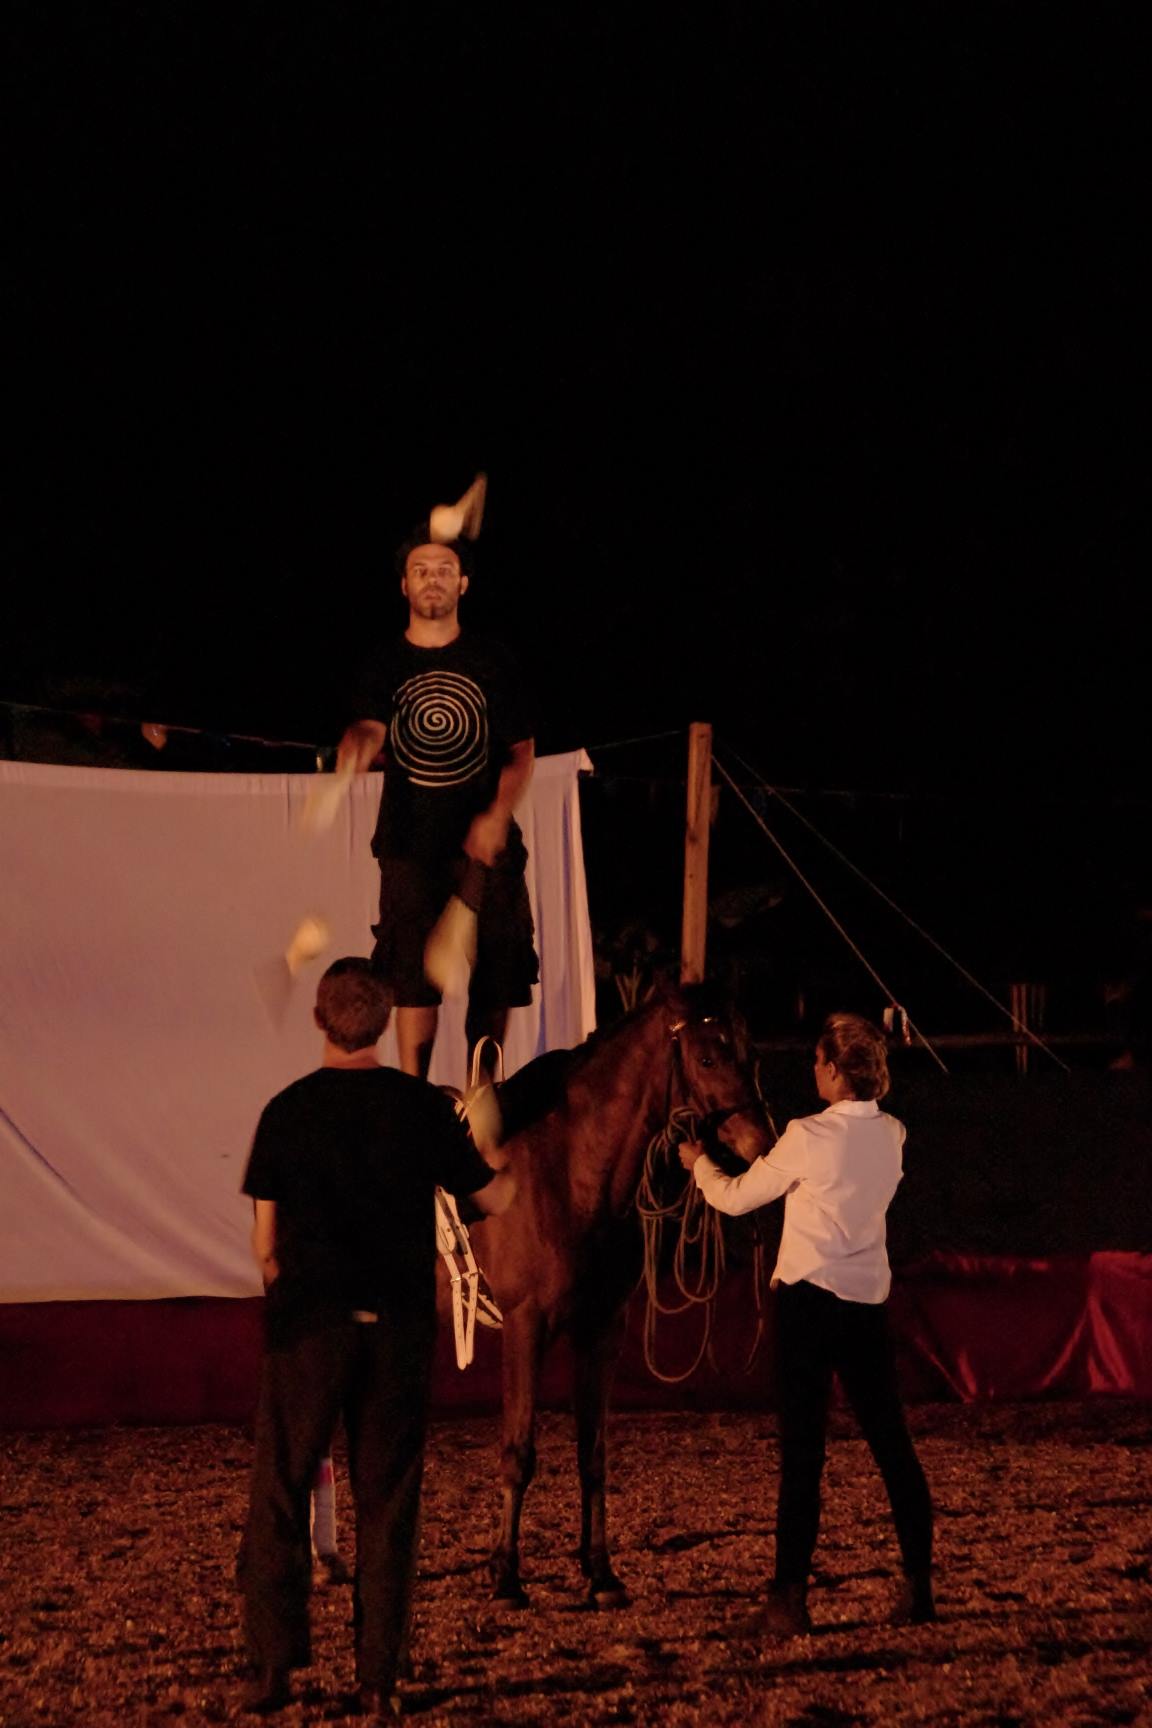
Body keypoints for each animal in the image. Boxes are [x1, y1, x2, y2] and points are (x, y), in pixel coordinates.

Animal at [449, 977, 776, 1608]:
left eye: (752, 1054)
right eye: (707, 1057)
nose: (761, 1143)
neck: (564, 1167)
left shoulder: (601, 1328)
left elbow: (593, 1454)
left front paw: (600, 1573)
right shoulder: (525, 1326)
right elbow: (518, 1451)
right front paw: (505, 1575)